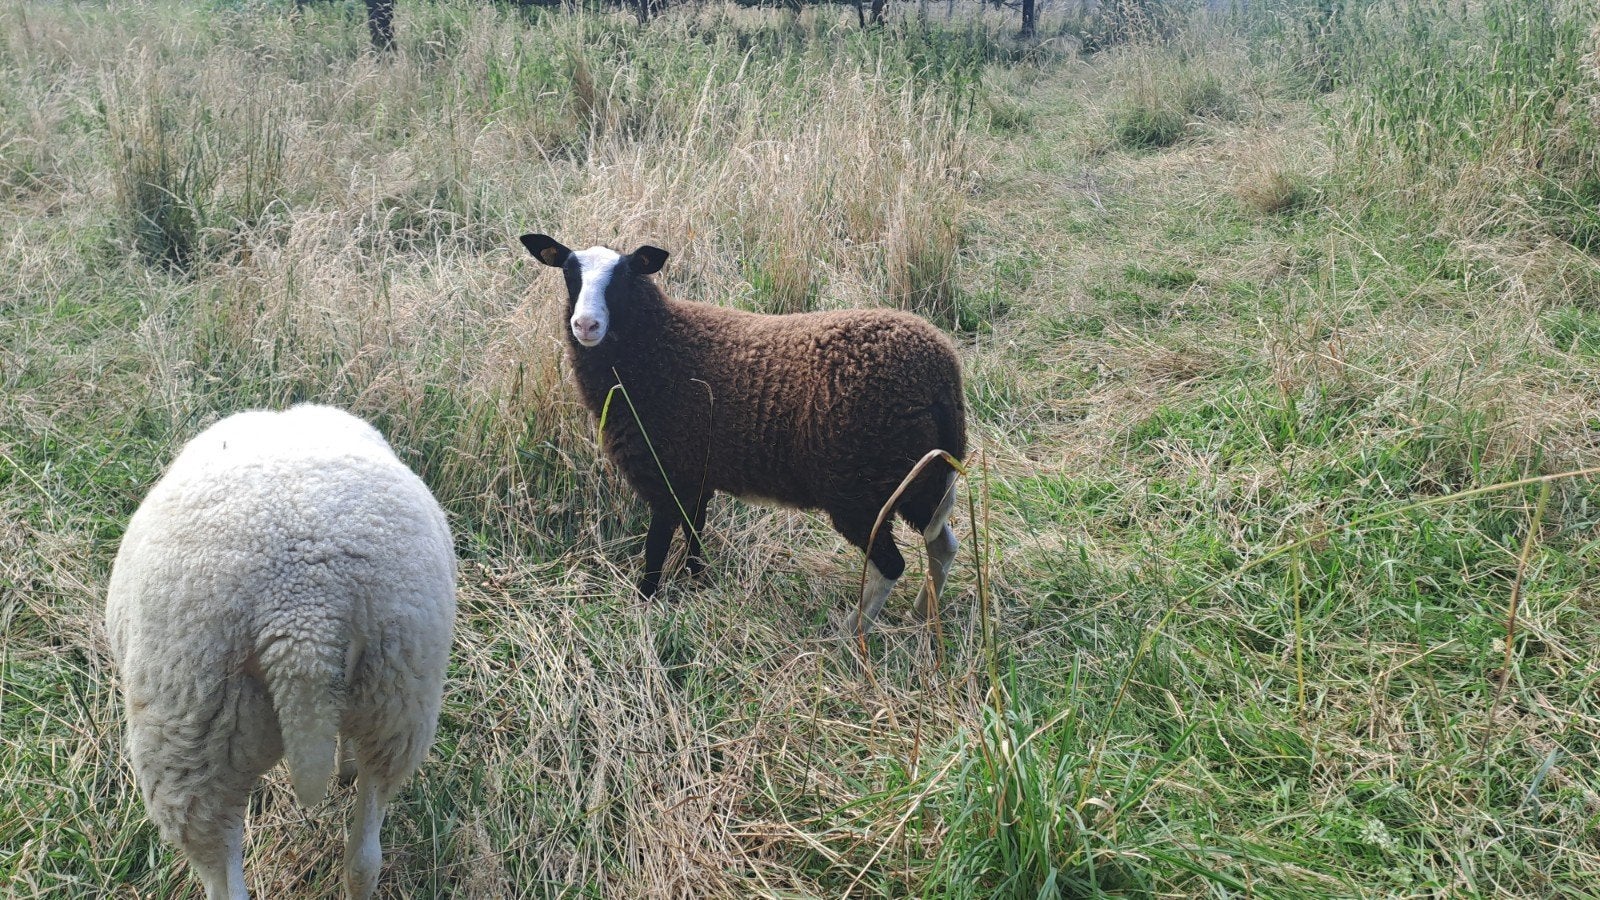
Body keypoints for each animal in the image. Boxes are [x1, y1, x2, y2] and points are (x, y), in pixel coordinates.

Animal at [105, 404, 456, 900]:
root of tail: (301, 611)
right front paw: (344, 768)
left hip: (185, 738)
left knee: (220, 876)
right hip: (397, 700)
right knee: (365, 858)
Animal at [520, 233, 966, 635]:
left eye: (626, 275)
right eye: (568, 273)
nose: (586, 324)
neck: (657, 350)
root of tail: (940, 372)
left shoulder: (666, 471)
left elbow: (656, 544)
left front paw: (644, 601)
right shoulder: (696, 475)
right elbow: (694, 530)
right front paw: (697, 580)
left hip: (859, 489)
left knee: (891, 564)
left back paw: (848, 636)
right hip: (922, 475)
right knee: (942, 544)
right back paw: (923, 615)